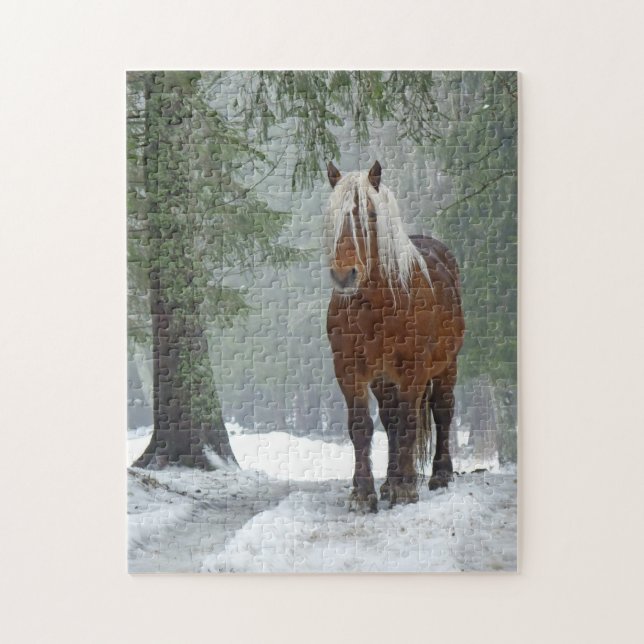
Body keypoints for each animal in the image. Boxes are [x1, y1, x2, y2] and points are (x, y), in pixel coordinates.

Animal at [325, 161, 465, 512]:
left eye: (371, 214)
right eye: (332, 216)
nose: (344, 275)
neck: (376, 305)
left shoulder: (413, 370)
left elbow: (408, 425)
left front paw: (405, 490)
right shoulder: (349, 370)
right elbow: (363, 427)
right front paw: (364, 493)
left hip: (447, 366)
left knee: (441, 412)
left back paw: (438, 475)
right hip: (383, 379)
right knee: (390, 421)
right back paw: (389, 481)